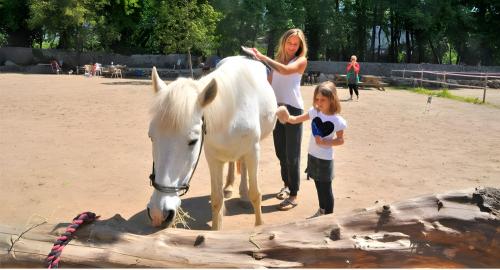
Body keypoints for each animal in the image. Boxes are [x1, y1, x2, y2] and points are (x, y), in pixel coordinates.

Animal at [146, 56, 278, 230]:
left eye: (193, 141)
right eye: (151, 137)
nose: (158, 213)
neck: (231, 114)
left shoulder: (253, 152)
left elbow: (256, 194)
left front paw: (259, 226)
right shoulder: (213, 158)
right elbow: (216, 199)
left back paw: (243, 194)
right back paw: (229, 187)